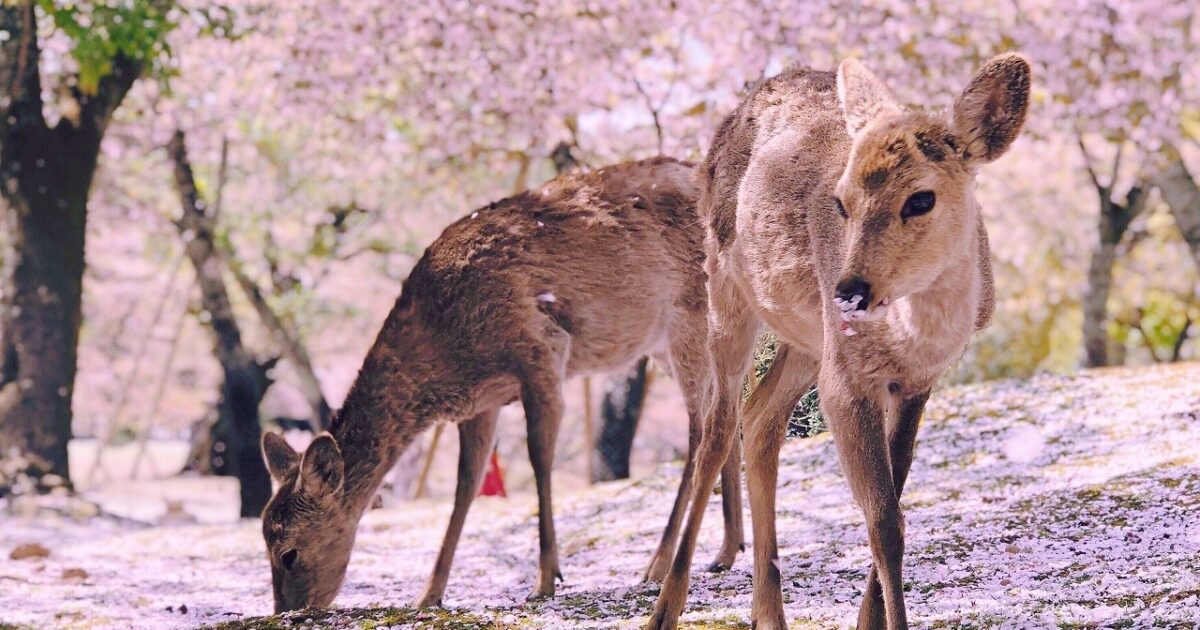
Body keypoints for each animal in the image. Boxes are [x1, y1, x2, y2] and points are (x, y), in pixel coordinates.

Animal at [258, 157, 744, 614]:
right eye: (264, 540)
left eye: (288, 553)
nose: (288, 610)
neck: (447, 351)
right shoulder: (481, 403)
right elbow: (465, 485)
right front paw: (428, 594)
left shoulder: (542, 347)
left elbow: (539, 458)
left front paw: (546, 579)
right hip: (668, 342)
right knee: (727, 413)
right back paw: (727, 549)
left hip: (690, 318)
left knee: (701, 427)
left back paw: (658, 563)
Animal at [648, 55, 1032, 628]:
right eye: (841, 202)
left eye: (922, 198)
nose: (850, 290)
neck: (912, 340)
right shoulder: (847, 380)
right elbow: (883, 520)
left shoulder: (916, 382)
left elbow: (895, 499)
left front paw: (868, 621)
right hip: (726, 290)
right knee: (717, 430)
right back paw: (664, 609)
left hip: (807, 341)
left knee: (760, 417)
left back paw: (768, 613)